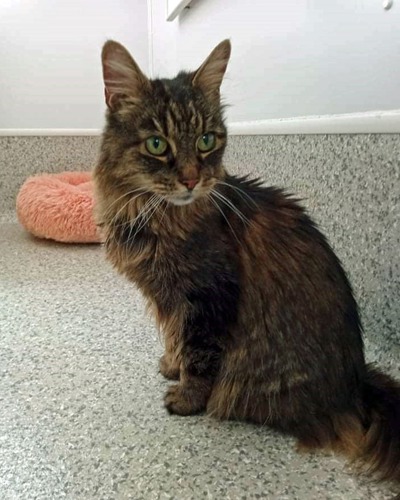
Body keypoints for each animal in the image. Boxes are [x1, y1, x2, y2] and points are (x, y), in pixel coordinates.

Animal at [93, 37, 400, 482]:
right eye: (157, 145)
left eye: (206, 140)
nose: (191, 179)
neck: (153, 215)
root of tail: (357, 387)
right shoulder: (168, 298)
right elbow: (174, 337)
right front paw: (171, 364)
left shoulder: (207, 296)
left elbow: (197, 352)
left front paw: (185, 396)